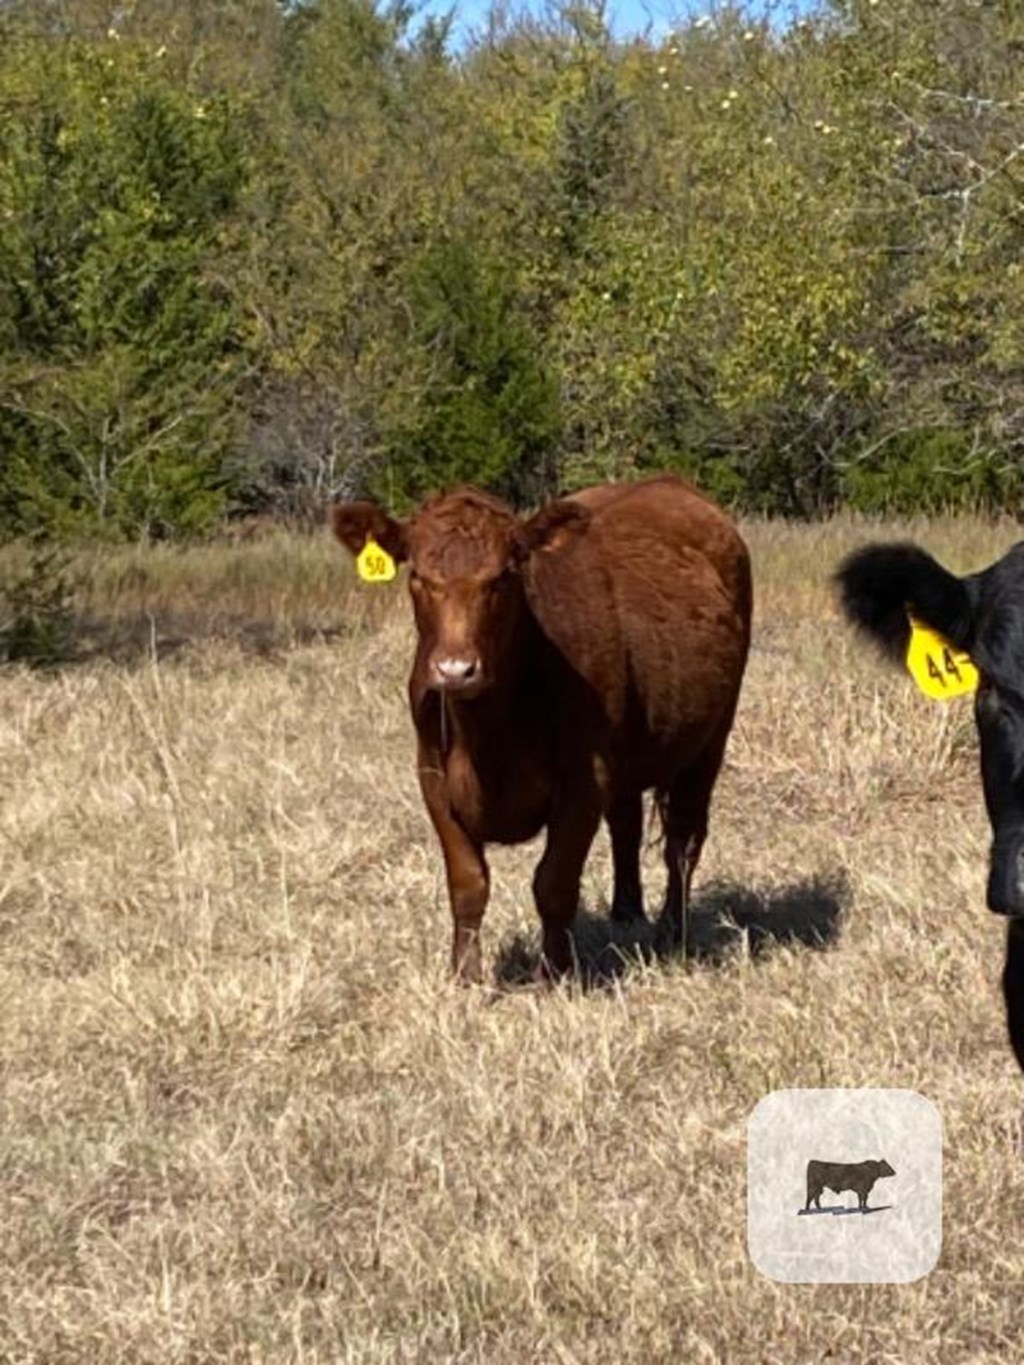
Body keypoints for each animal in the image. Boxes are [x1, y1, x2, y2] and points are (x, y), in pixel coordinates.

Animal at [330, 477, 753, 982]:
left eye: (504, 577)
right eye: (418, 578)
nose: (455, 670)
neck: (490, 736)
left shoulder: (585, 777)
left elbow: (554, 883)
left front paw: (555, 973)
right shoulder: (432, 775)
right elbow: (467, 881)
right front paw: (465, 974)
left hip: (711, 738)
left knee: (683, 841)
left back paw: (672, 932)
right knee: (627, 823)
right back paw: (626, 915)